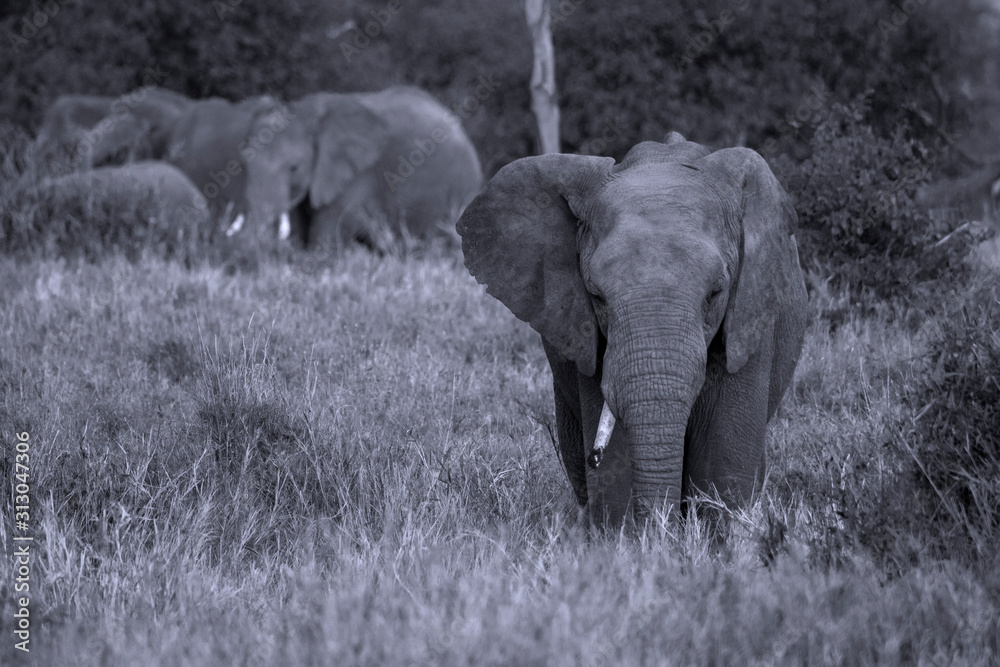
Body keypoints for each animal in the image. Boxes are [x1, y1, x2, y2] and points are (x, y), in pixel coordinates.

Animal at [457, 133, 809, 525]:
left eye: (715, 293)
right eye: (596, 296)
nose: (594, 456)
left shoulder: (750, 314)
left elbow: (722, 463)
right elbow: (617, 475)